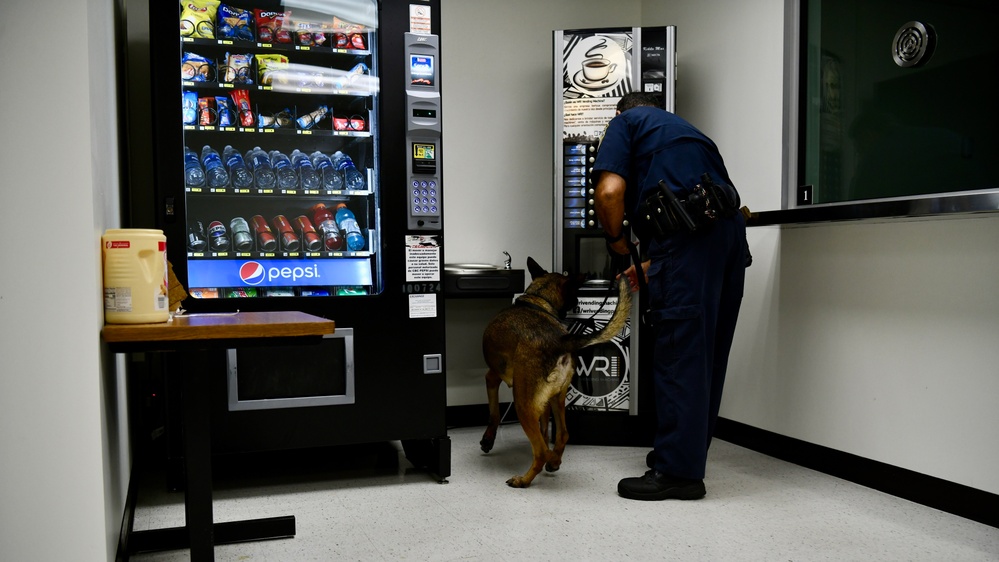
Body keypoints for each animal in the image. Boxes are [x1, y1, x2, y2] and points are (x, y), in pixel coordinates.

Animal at [480, 256, 628, 484]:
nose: (577, 303)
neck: (538, 298)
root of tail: (560, 341)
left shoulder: (492, 377)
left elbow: (494, 414)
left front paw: (488, 439)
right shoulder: (545, 401)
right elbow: (544, 429)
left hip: (523, 404)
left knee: (541, 451)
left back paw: (525, 479)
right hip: (557, 398)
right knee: (562, 434)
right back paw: (554, 460)